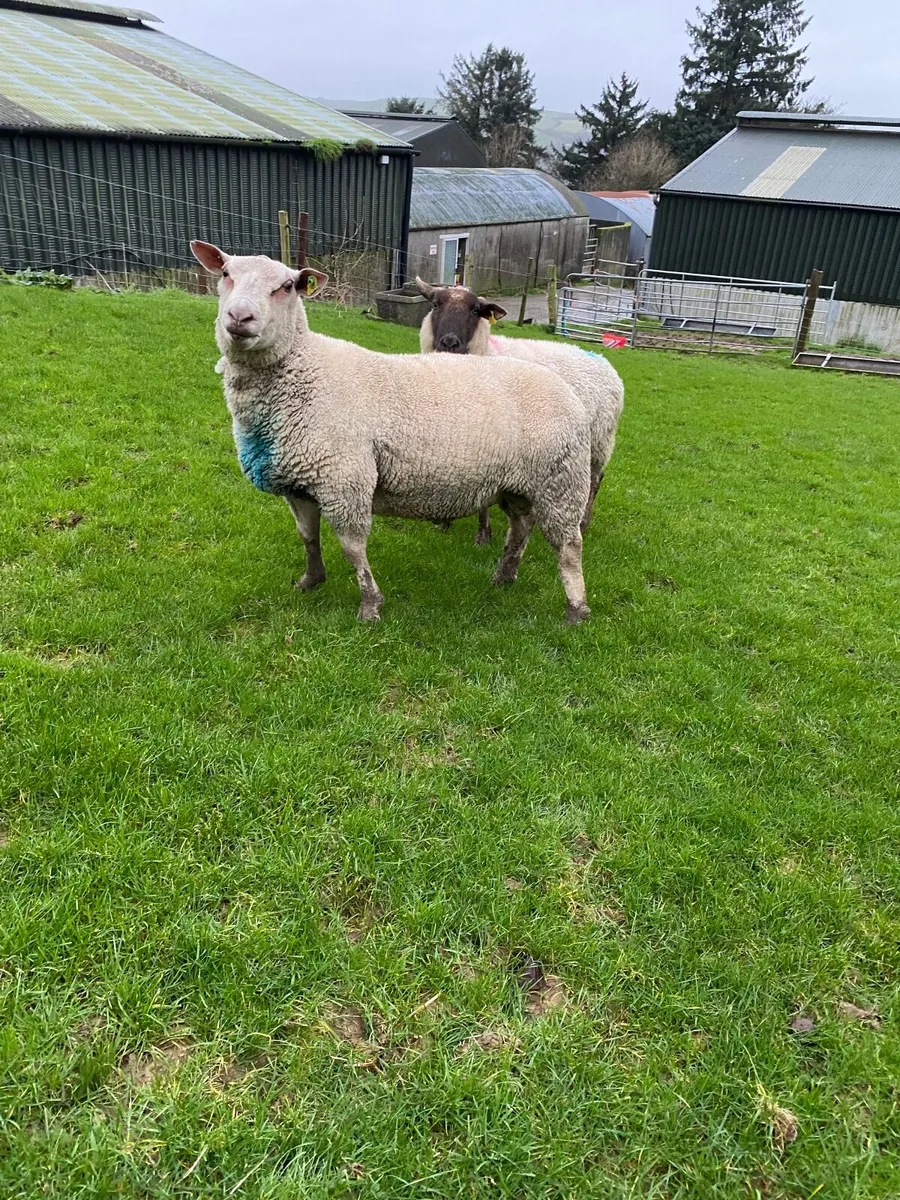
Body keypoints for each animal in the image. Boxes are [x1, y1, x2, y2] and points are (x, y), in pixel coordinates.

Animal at [190, 241, 595, 624]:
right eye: (225, 274)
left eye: (287, 286)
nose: (239, 317)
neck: (304, 371)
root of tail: (567, 388)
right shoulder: (299, 481)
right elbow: (308, 537)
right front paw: (311, 581)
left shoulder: (345, 481)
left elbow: (352, 548)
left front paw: (370, 606)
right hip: (519, 484)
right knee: (521, 527)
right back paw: (504, 576)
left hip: (561, 482)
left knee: (568, 546)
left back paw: (576, 610)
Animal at [416, 279, 624, 545]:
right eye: (435, 304)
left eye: (475, 310)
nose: (449, 342)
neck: (488, 352)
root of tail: (602, 359)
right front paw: (443, 521)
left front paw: (482, 534)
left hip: (600, 441)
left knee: (595, 481)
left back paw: (584, 523)